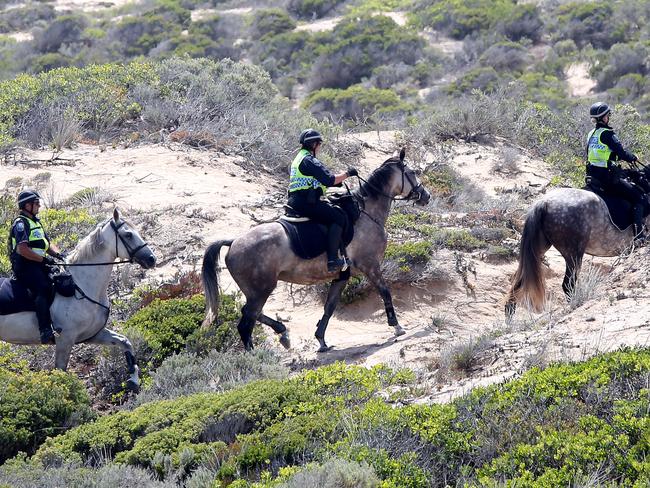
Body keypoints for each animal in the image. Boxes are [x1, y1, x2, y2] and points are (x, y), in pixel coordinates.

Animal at [0, 210, 156, 388]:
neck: (81, 286)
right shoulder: (65, 340)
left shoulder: (94, 334)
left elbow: (125, 342)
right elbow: (60, 373)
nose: (152, 259)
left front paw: (133, 379)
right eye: (128, 234)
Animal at [200, 149, 428, 350]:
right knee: (246, 323)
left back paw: (283, 333)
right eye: (412, 172)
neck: (366, 213)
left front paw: (321, 340)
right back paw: (256, 357)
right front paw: (397, 326)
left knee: (252, 313)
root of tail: (233, 242)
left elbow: (330, 307)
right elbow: (385, 292)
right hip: (261, 290)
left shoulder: (342, 276)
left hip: (256, 291)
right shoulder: (370, 265)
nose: (426, 196)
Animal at [504, 187, 640, 316]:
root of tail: (544, 202)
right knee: (568, 284)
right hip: (574, 254)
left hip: (539, 249)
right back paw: (574, 305)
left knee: (518, 283)